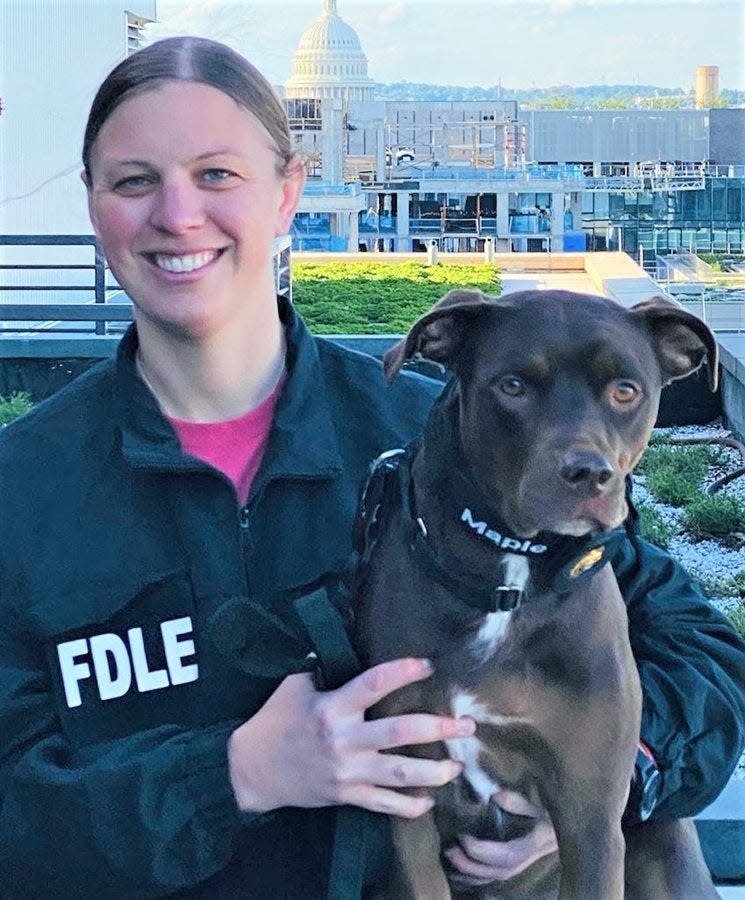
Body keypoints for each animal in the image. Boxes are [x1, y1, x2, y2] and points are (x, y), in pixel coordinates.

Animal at [354, 292, 716, 896]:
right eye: (513, 386)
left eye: (626, 390)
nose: (588, 473)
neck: (509, 579)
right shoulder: (407, 799)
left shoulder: (591, 820)